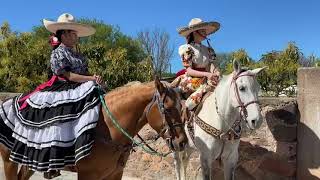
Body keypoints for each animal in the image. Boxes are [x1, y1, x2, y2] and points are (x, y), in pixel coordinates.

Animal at [0, 78, 188, 180]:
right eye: (168, 109)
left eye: (182, 106)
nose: (182, 143)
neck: (108, 129)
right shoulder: (87, 174)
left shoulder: (115, 174)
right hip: (9, 161)